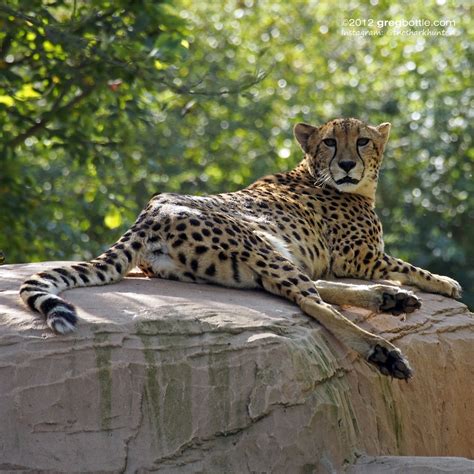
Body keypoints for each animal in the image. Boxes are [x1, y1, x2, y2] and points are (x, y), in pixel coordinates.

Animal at [20, 118, 462, 382]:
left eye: (364, 141)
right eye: (331, 143)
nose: (348, 165)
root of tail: (150, 211)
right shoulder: (360, 256)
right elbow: (409, 265)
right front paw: (445, 282)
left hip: (252, 256)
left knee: (303, 289)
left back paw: (390, 299)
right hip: (257, 243)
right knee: (311, 300)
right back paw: (383, 350)